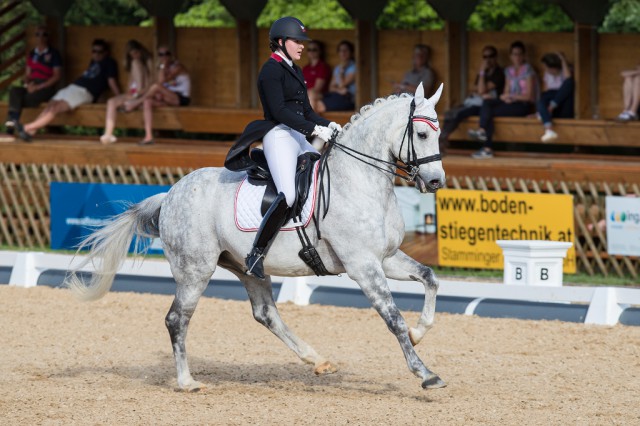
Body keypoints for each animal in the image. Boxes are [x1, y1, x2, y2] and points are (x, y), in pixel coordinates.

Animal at [65, 82, 444, 390]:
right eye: (422, 135)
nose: (436, 182)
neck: (358, 181)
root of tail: (170, 193)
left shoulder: (385, 258)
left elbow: (429, 277)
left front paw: (420, 332)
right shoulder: (362, 265)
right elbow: (392, 317)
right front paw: (426, 374)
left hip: (246, 268)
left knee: (265, 313)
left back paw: (317, 360)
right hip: (195, 270)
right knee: (177, 319)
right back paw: (187, 382)